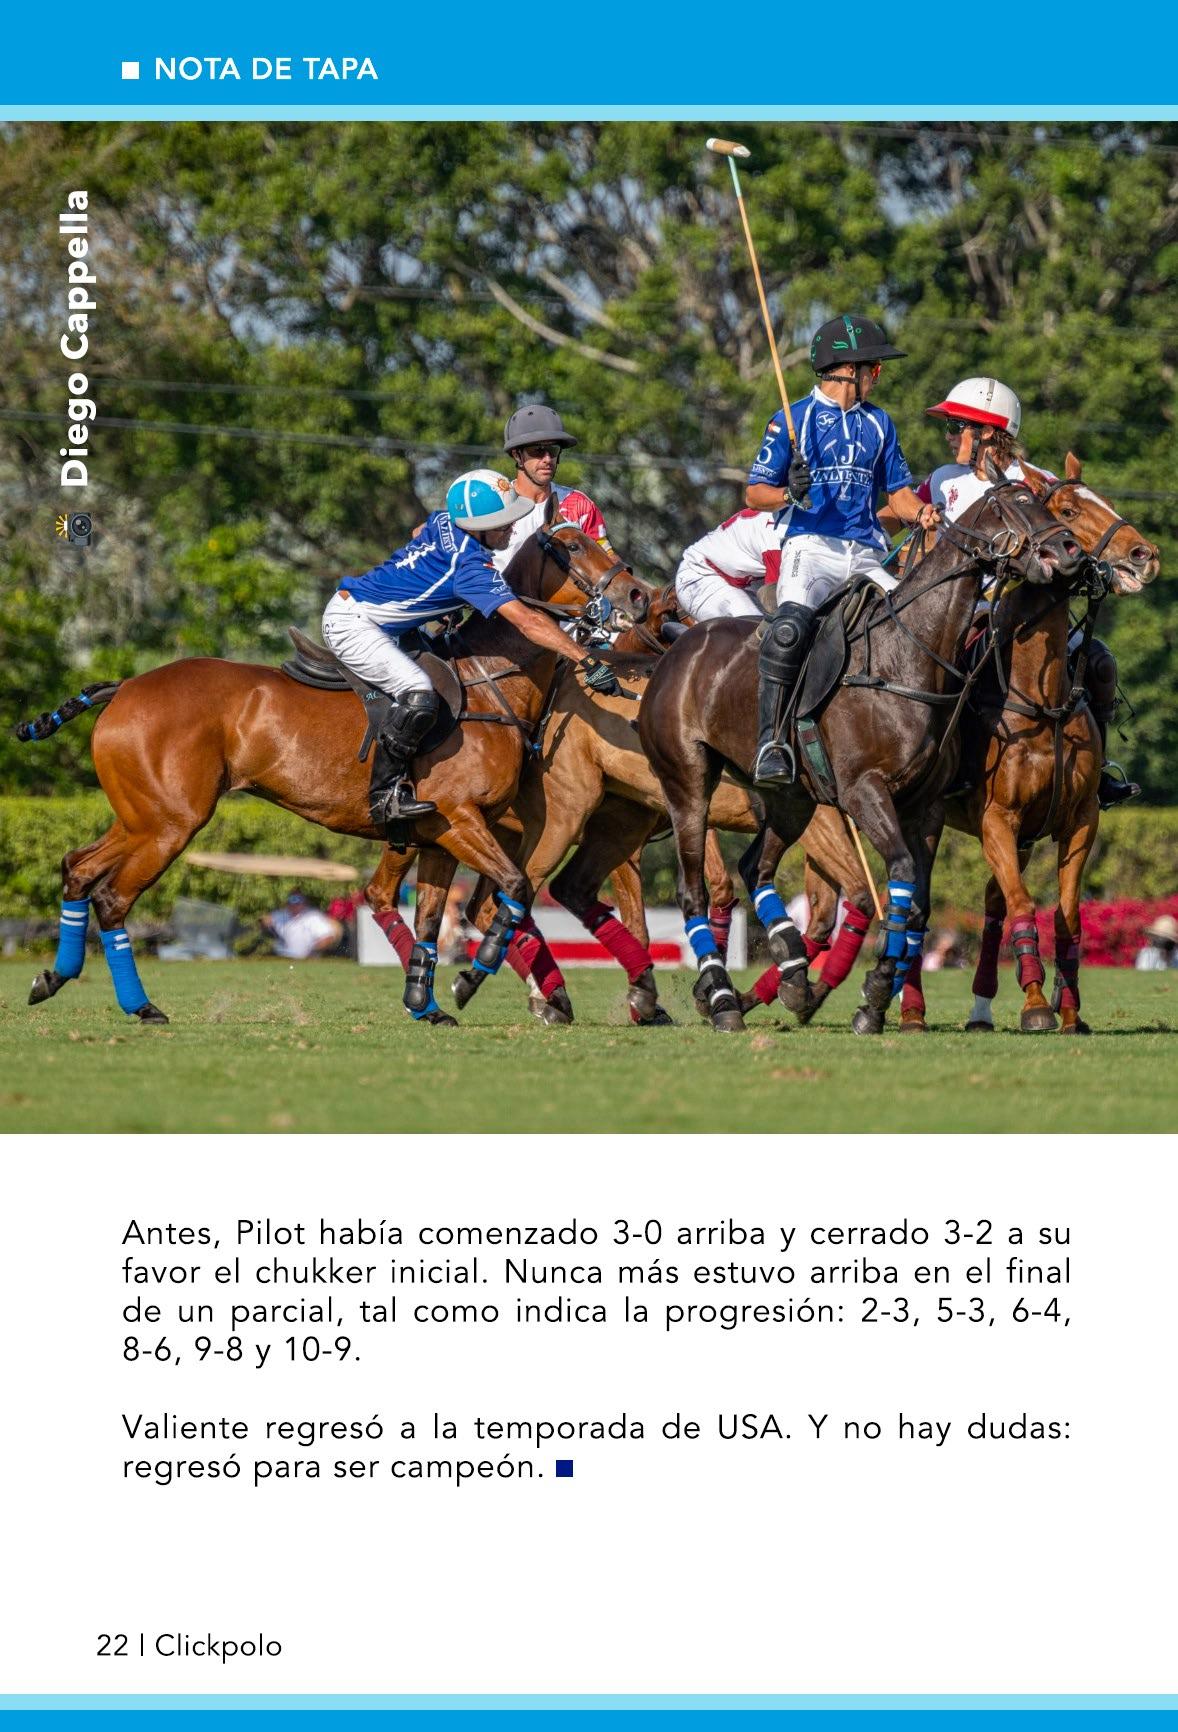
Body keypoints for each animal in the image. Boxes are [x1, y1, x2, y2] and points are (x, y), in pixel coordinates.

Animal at [20, 520, 646, 1026]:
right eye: (572, 545)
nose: (637, 594)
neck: (490, 683)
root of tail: (124, 687)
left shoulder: (440, 834)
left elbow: (431, 920)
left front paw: (426, 1003)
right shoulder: (461, 819)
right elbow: (513, 889)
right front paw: (472, 979)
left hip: (140, 817)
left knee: (78, 868)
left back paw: (52, 978)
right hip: (171, 823)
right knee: (112, 898)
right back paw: (141, 1006)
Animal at [637, 472, 1086, 1033]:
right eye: (1017, 504)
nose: (1070, 550)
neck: (907, 659)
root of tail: (674, 650)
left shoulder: (924, 805)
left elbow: (916, 902)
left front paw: (873, 998)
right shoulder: (863, 791)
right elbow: (901, 874)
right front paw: (875, 992)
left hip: (791, 799)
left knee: (755, 867)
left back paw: (791, 967)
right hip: (688, 782)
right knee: (694, 889)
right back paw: (722, 998)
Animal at [745, 455, 1159, 1033]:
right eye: (1069, 510)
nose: (1146, 556)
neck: (1042, 701)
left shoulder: (1080, 820)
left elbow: (1066, 918)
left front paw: (1069, 1010)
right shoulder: (996, 819)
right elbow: (1024, 906)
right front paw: (1036, 1007)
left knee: (968, 904)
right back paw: (894, 1006)